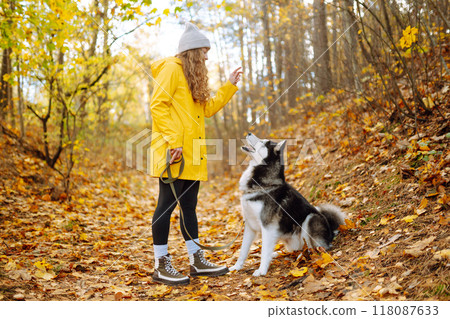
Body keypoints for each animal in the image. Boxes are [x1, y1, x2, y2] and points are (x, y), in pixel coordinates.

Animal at [230, 133, 346, 278]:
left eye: (263, 142)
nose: (249, 133)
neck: (262, 185)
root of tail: (331, 231)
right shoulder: (250, 225)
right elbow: (243, 251)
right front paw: (236, 267)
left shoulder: (267, 227)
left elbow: (264, 251)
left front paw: (262, 270)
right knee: (294, 250)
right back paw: (279, 254)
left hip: (311, 219)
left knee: (317, 248)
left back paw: (307, 255)